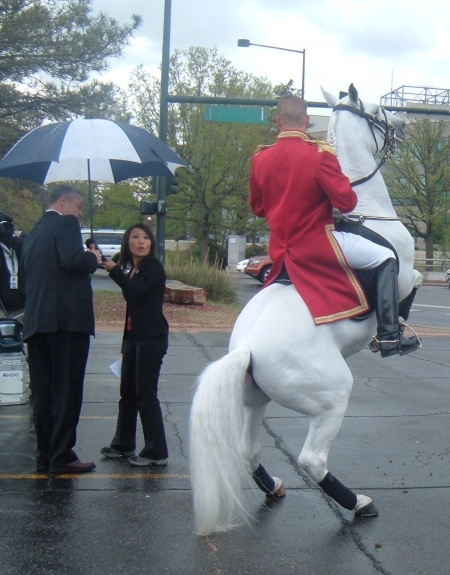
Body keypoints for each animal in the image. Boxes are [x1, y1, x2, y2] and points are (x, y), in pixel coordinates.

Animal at [188, 84, 424, 536]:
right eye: (378, 110)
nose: (405, 125)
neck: (366, 209)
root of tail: (245, 347)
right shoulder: (402, 271)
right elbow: (415, 280)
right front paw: (397, 336)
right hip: (330, 395)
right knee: (312, 460)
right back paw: (359, 503)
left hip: (255, 398)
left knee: (249, 449)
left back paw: (275, 487)